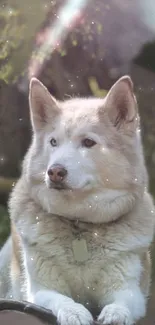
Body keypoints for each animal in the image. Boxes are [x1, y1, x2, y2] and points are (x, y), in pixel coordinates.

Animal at [4, 75, 155, 322]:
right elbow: (61, 300)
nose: (54, 172)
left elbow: (121, 303)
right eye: (53, 142)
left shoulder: (130, 290)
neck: (80, 224)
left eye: (88, 142)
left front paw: (116, 314)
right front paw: (74, 312)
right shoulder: (40, 291)